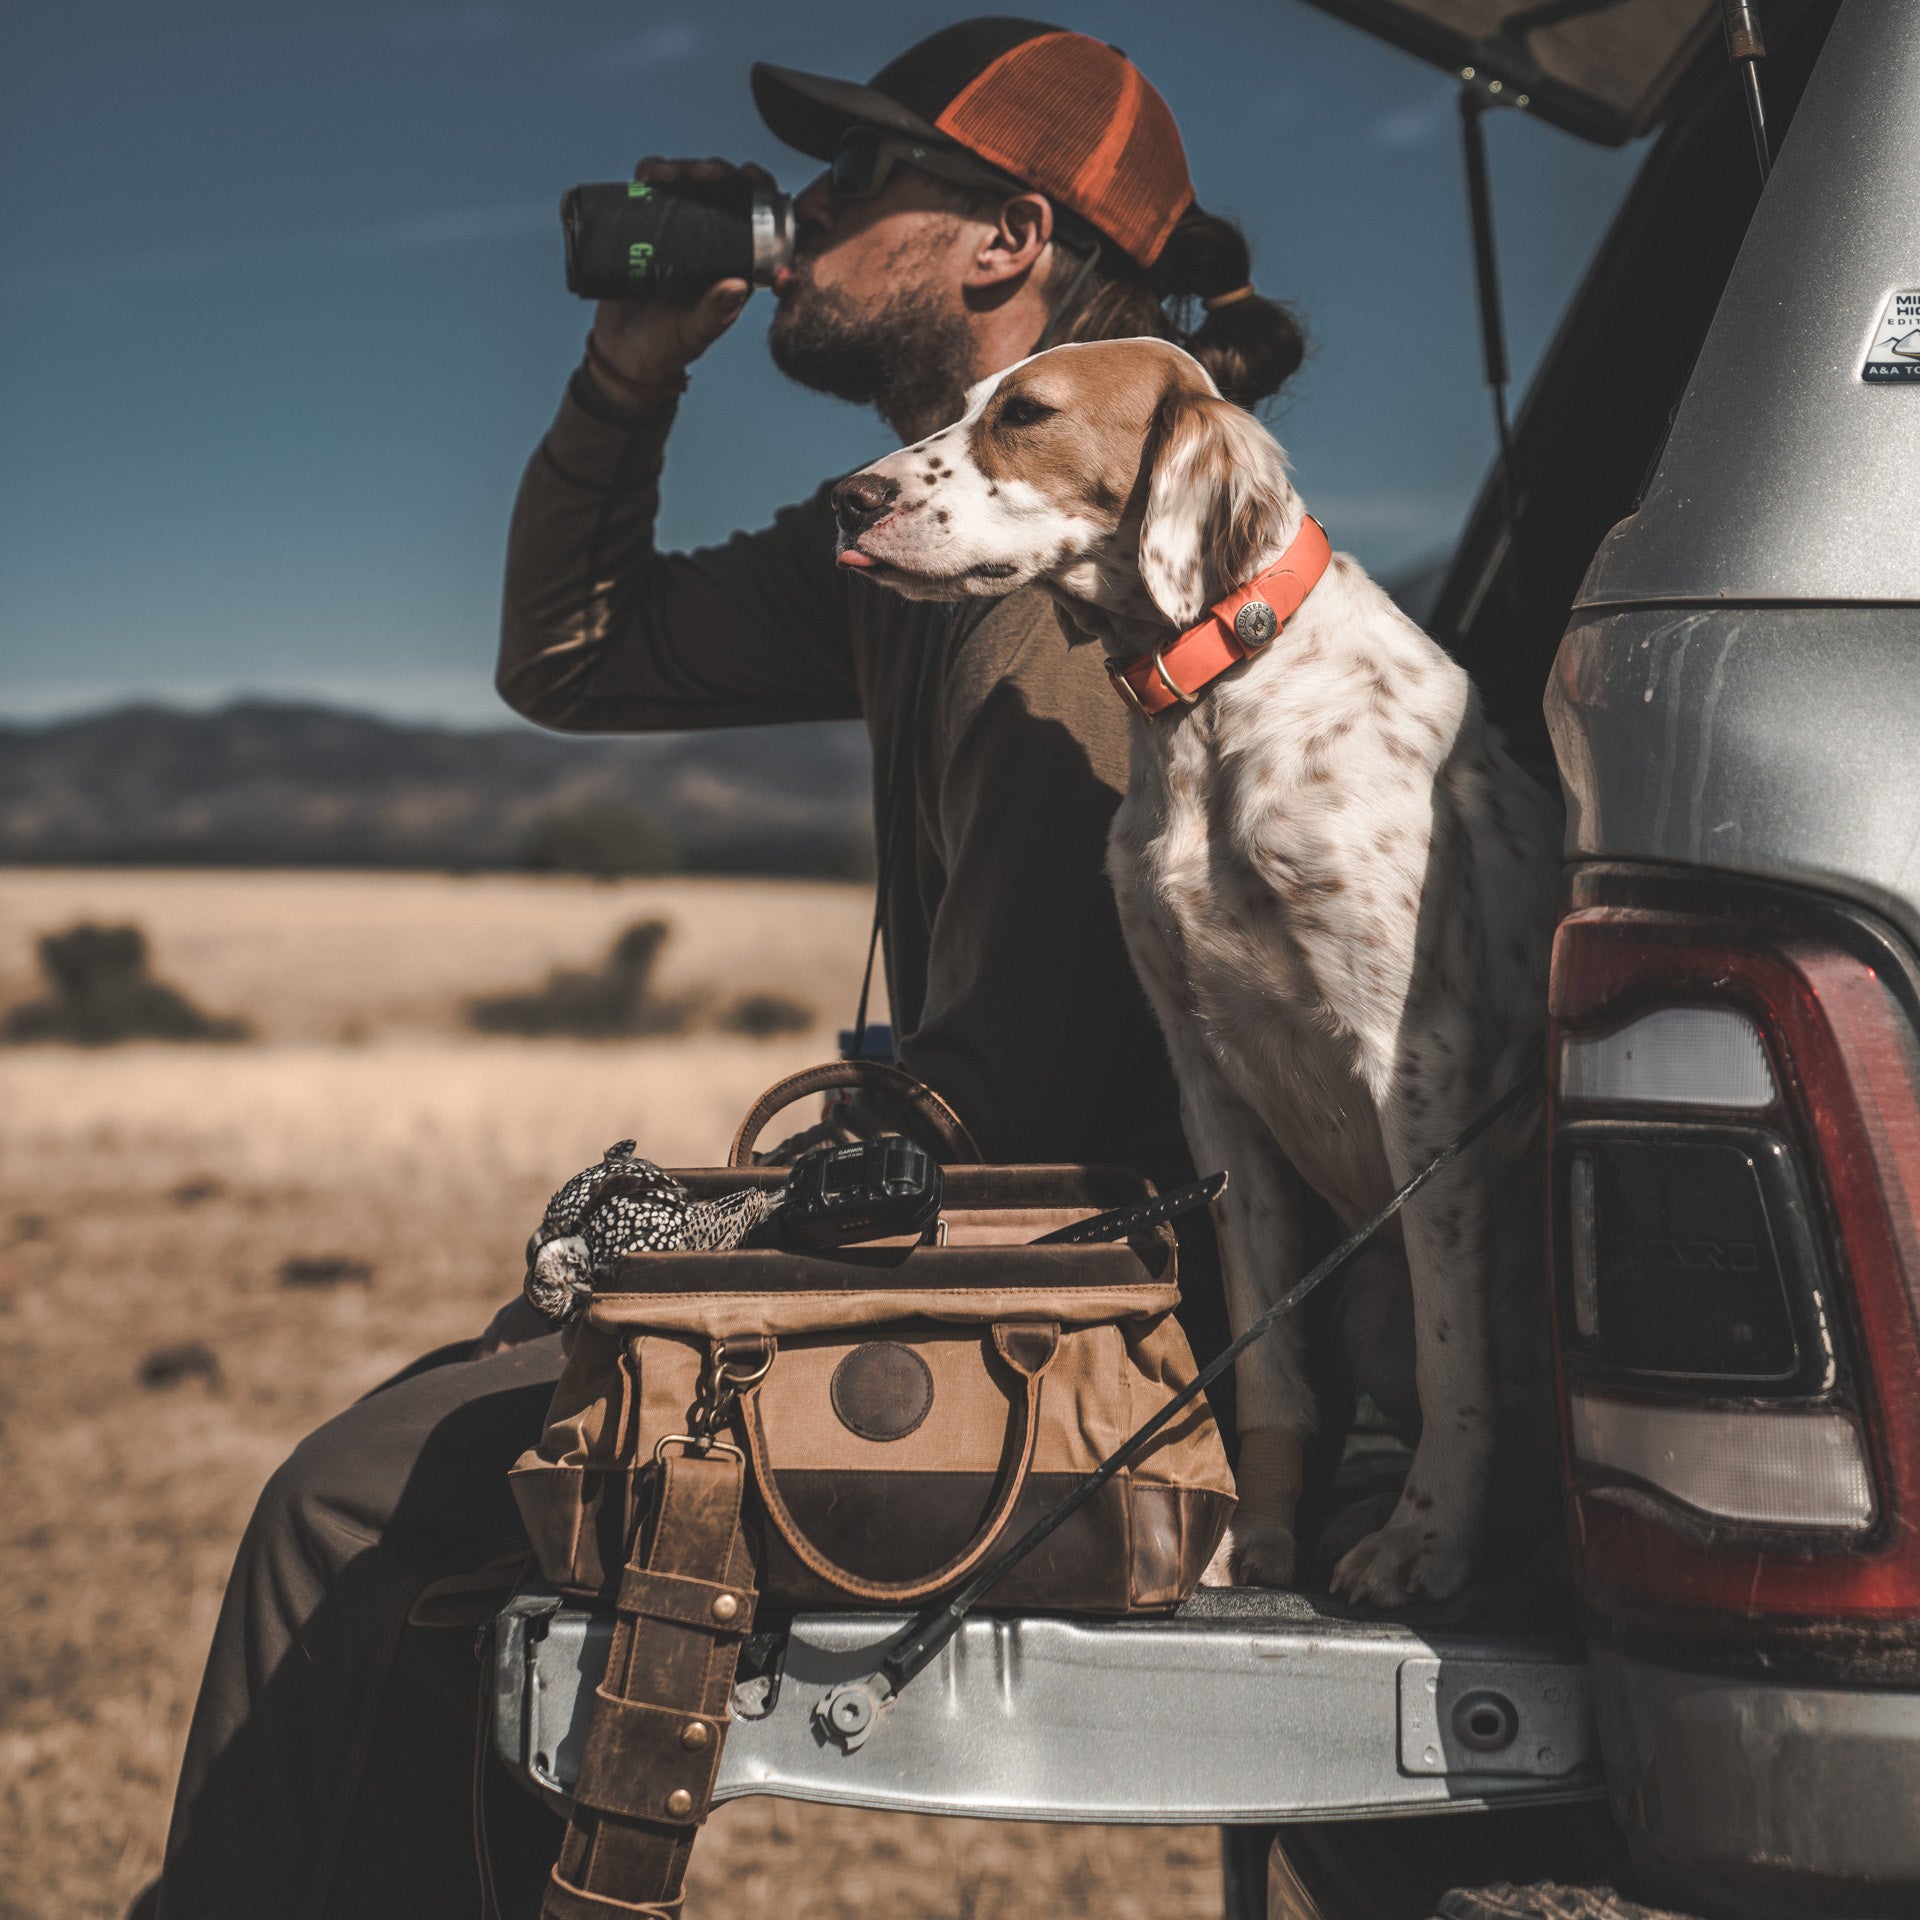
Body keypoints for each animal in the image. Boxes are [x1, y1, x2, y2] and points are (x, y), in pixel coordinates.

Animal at [837, 341, 1559, 1605]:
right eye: (960, 409)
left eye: (1027, 414)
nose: (846, 500)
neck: (1224, 697)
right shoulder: (1212, 1089)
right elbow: (1266, 1365)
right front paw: (1249, 1538)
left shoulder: (1419, 1071)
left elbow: (1453, 1356)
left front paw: (1424, 1542)